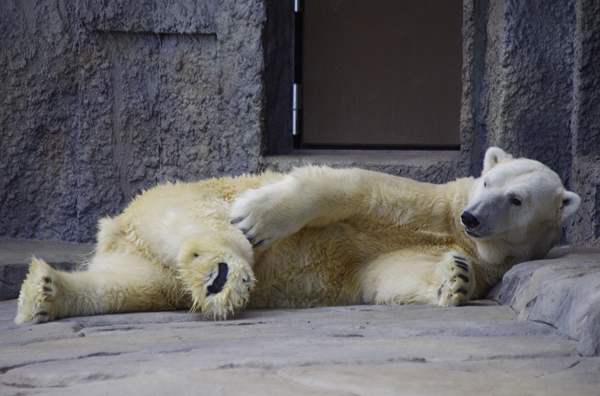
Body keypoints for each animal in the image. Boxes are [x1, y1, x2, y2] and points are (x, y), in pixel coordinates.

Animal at [14, 147, 580, 324]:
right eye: (487, 180)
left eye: (516, 199)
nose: (473, 218)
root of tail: (116, 227)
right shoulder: (431, 201)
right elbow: (352, 189)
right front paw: (259, 218)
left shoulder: (486, 256)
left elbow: (386, 273)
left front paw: (454, 280)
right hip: (177, 197)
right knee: (198, 225)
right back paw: (222, 274)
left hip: (140, 250)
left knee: (134, 283)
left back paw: (46, 291)